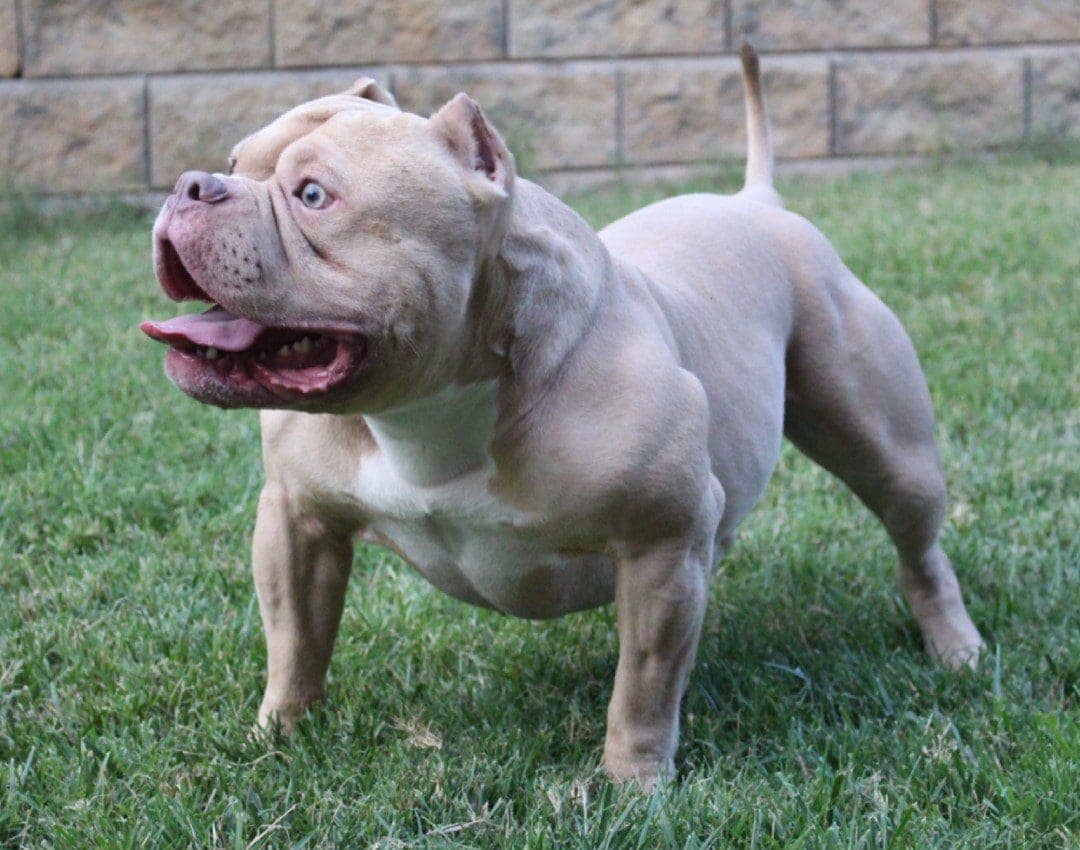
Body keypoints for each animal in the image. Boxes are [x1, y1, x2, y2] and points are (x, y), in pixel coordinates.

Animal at [139, 44, 984, 786]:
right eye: (235, 163)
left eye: (314, 195)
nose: (191, 185)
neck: (427, 405)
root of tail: (758, 202)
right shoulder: (297, 520)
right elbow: (296, 640)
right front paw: (277, 734)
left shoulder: (660, 546)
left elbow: (643, 686)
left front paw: (633, 785)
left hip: (888, 448)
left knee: (918, 546)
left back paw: (956, 647)